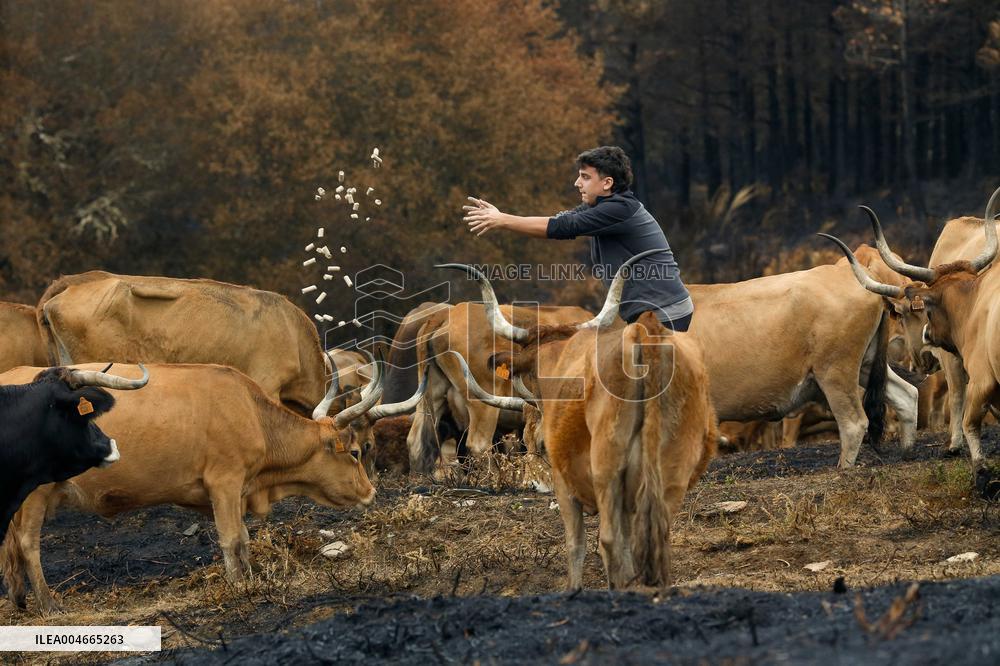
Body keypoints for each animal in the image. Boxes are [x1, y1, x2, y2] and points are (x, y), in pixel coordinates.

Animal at [441, 250, 718, 589]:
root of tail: (641, 341)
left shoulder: (564, 482)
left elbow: (576, 544)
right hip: (672, 470)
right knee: (654, 538)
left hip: (607, 469)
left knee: (610, 542)